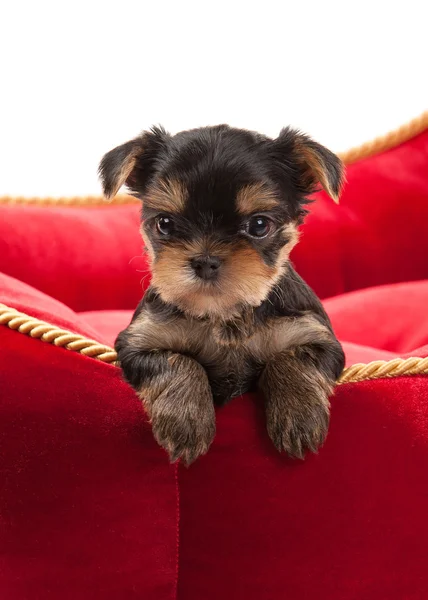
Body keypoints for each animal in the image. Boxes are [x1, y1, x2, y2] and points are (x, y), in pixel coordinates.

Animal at [99, 123, 344, 464]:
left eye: (259, 225)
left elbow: (291, 357)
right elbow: (178, 361)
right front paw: (186, 421)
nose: (205, 260)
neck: (224, 313)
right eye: (165, 223)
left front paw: (299, 416)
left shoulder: (316, 336)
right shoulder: (138, 343)